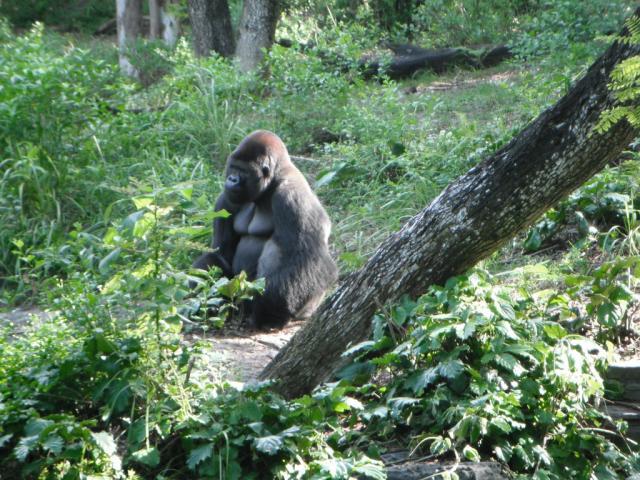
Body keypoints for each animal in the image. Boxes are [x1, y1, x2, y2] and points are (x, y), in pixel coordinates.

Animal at [191, 129, 338, 328]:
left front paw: (269, 309)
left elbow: (308, 259)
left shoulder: (291, 197)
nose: (232, 179)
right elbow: (220, 253)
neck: (274, 180)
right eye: (233, 167)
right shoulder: (225, 200)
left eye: (243, 171)